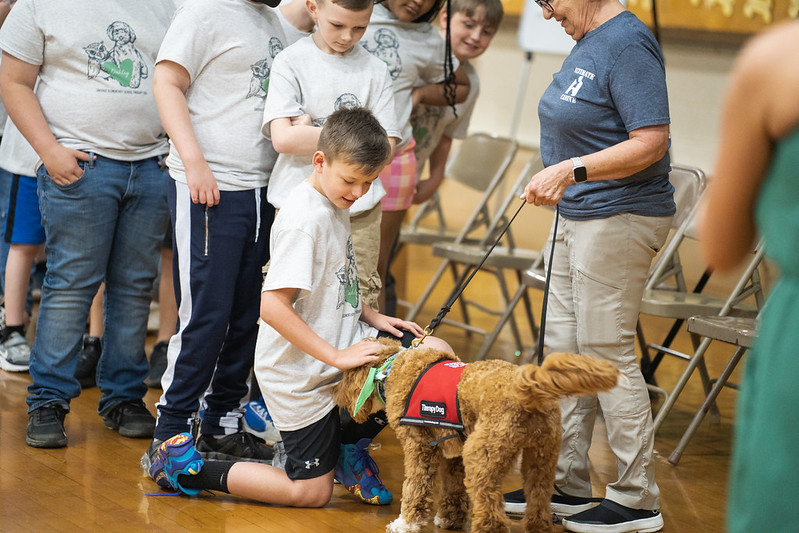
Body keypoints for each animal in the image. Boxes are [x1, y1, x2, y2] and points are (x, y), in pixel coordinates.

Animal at [334, 340, 620, 532]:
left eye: (346, 375)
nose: (336, 397)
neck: (393, 367)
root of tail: (527, 386)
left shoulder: (420, 449)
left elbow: (416, 488)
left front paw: (406, 523)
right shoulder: (454, 454)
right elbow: (453, 489)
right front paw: (450, 519)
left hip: (482, 457)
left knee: (492, 512)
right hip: (541, 460)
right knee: (538, 504)